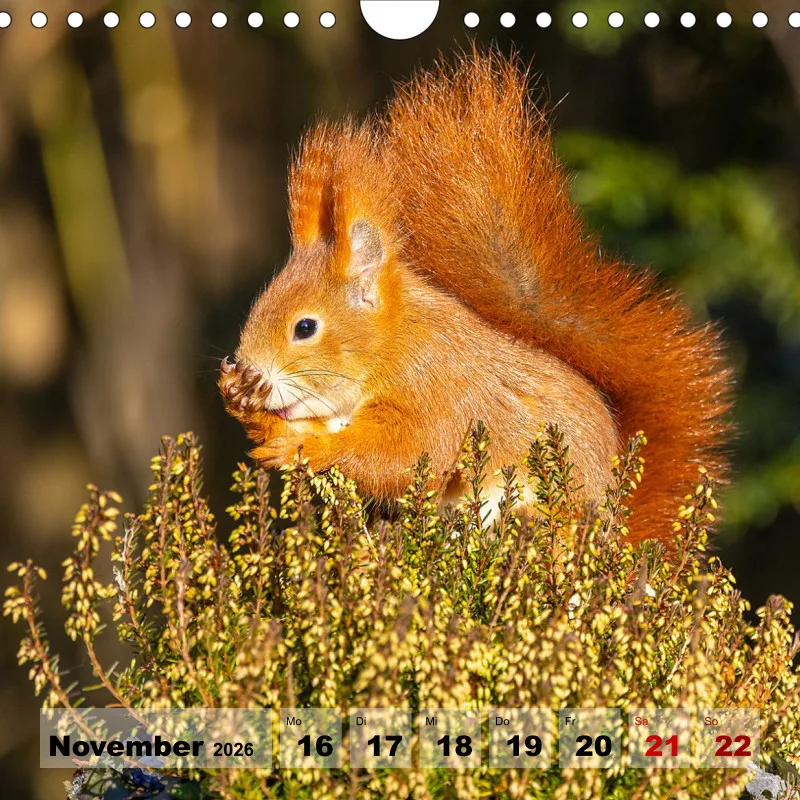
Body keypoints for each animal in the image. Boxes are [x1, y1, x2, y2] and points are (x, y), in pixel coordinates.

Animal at [219, 49, 732, 544]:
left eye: (305, 328)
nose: (249, 368)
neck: (393, 342)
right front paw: (246, 405)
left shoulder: (436, 389)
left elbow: (404, 456)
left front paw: (300, 444)